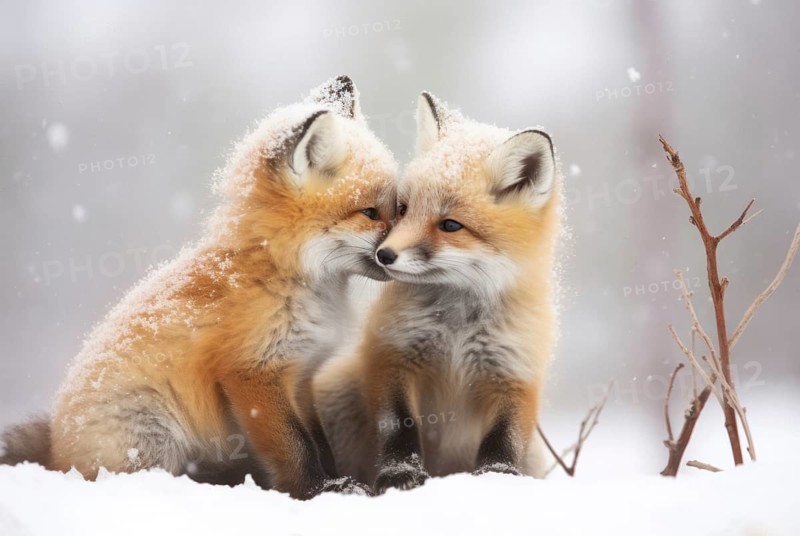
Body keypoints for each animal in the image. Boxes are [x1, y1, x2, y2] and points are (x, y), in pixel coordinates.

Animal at [0, 76, 398, 499]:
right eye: (370, 213)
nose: (398, 252)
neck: (276, 271)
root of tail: (56, 453)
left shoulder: (302, 373)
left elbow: (319, 440)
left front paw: (335, 479)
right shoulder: (252, 372)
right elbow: (297, 447)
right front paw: (319, 490)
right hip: (154, 434)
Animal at [314, 92, 560, 493]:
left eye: (450, 225)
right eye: (403, 209)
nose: (384, 255)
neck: (457, 331)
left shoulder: (515, 373)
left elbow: (503, 439)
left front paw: (498, 479)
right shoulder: (393, 355)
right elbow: (399, 427)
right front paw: (401, 475)